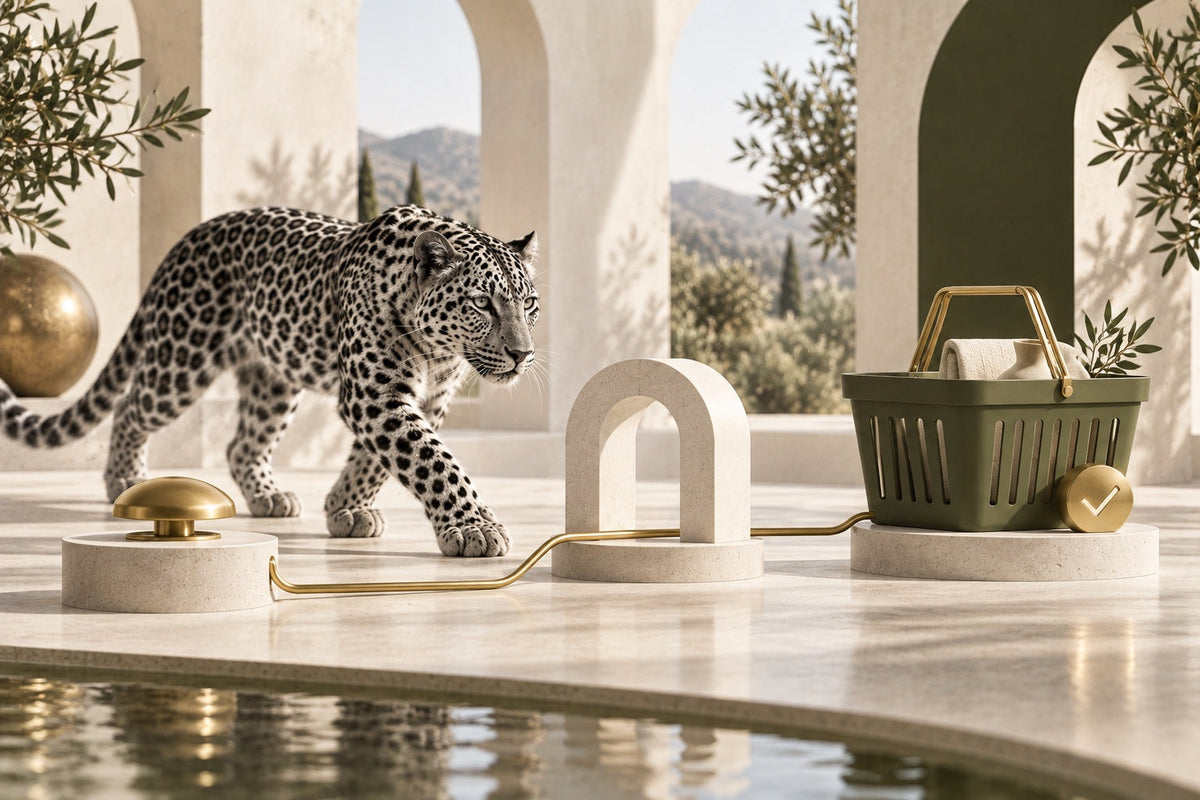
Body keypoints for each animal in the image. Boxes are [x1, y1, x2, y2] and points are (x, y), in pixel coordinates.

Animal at [0, 205, 541, 557]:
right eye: (482, 304)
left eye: (529, 305)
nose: (523, 354)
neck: (436, 348)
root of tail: (189, 237)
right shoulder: (375, 394)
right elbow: (434, 461)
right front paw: (475, 528)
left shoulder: (424, 399)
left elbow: (380, 461)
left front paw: (345, 509)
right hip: (182, 360)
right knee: (132, 406)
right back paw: (125, 479)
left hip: (273, 379)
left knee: (242, 444)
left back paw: (268, 497)